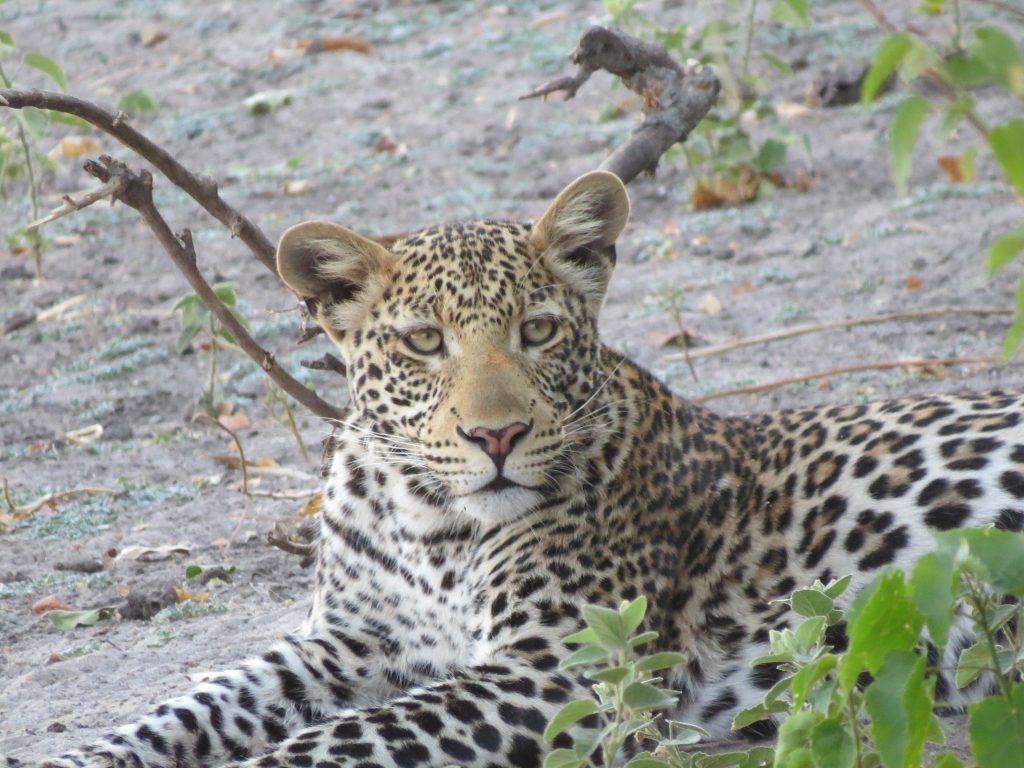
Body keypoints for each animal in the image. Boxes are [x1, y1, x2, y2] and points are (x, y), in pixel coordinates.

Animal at [12, 169, 1024, 768]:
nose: (494, 437)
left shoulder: (561, 671)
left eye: (536, 331)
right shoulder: (344, 644)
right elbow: (192, 706)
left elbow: (334, 742)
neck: (422, 518)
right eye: (424, 343)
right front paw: (82, 757)